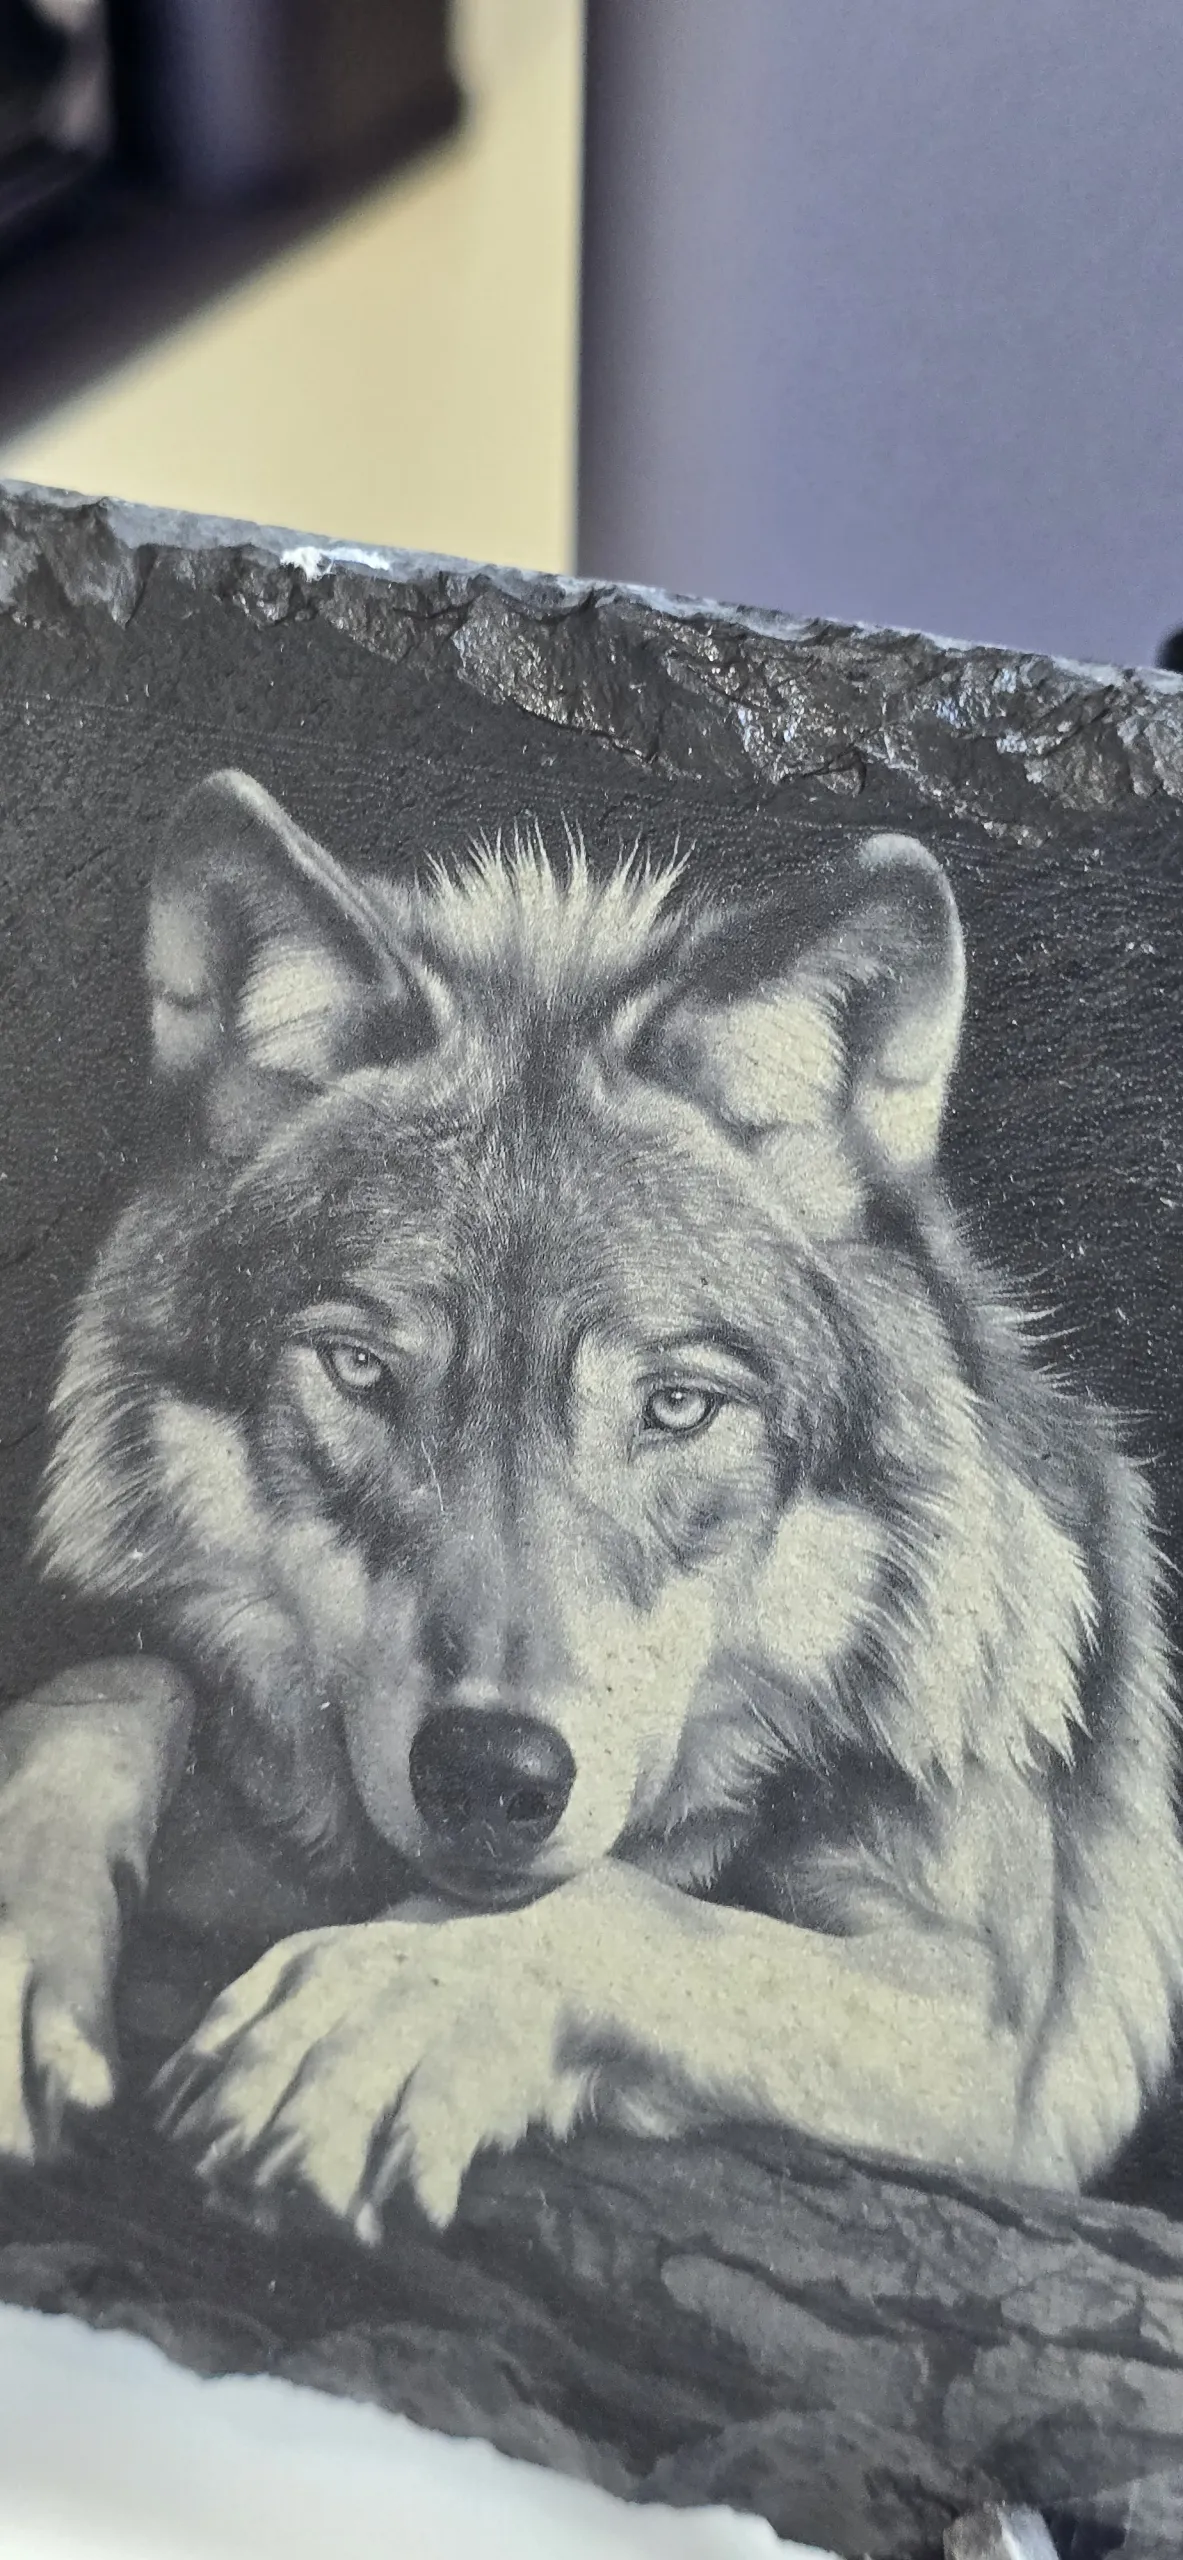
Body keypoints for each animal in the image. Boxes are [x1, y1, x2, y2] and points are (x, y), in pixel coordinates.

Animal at [0, 768, 1179, 2238]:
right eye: (361, 1370)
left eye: (674, 1406)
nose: (488, 1774)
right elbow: (110, 1685)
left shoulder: (1005, 2026)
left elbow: (637, 1913)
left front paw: (377, 2008)